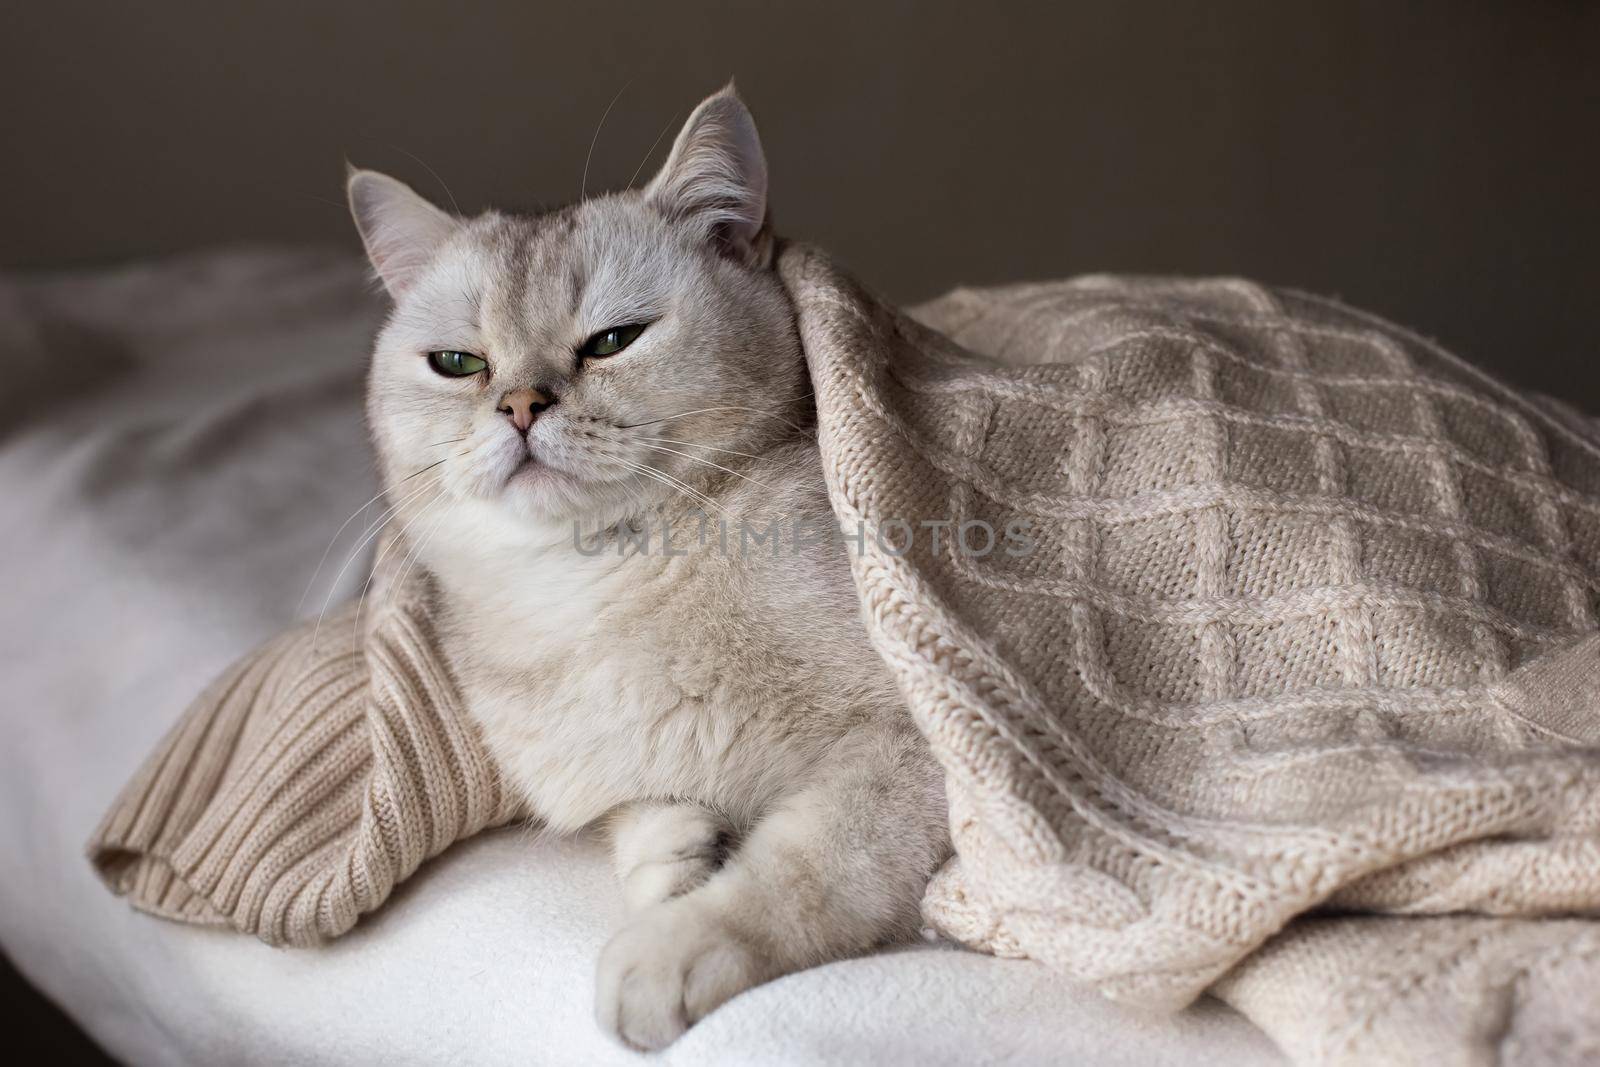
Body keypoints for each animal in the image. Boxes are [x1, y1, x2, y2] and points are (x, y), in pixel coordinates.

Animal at [347, 83, 947, 1049]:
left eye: (612, 341)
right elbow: (644, 816)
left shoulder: (915, 742)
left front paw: (676, 948)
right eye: (458, 363)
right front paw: (678, 862)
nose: (521, 405)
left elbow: (805, 868)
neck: (600, 588)